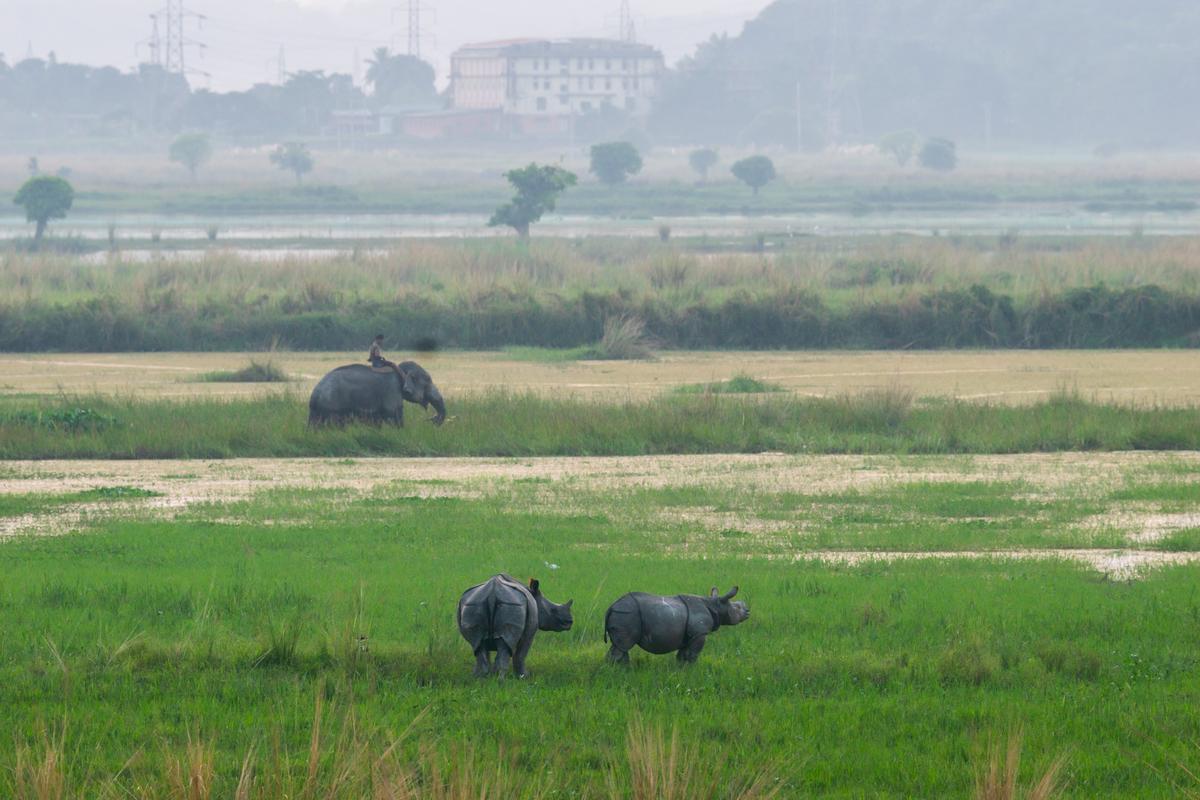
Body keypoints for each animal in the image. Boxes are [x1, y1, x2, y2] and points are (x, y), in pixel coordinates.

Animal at [308, 361, 446, 426]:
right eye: (428, 380)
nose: (431, 419)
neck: (399, 369)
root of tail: (315, 394)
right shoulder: (391, 390)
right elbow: (394, 415)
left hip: (316, 411)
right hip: (332, 406)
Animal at [604, 586, 749, 665]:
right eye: (737, 608)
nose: (748, 611)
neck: (715, 604)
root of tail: (611, 606)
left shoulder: (690, 634)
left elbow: (682, 655)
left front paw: (681, 670)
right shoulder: (700, 633)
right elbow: (693, 654)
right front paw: (692, 671)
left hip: (624, 614)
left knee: (621, 646)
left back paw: (623, 670)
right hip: (627, 614)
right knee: (623, 645)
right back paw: (616, 671)